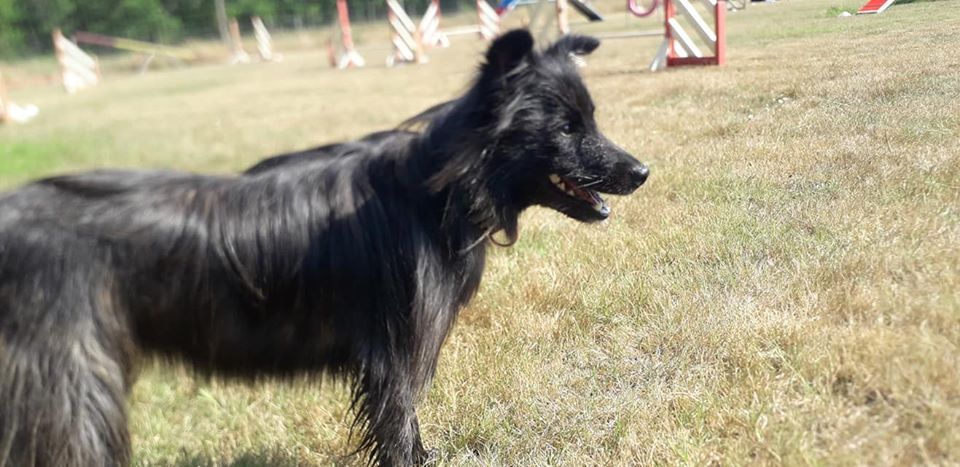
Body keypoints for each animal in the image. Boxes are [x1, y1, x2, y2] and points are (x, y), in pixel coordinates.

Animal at [0, 30, 648, 467]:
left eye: (591, 117)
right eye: (565, 128)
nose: (642, 171)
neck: (436, 193)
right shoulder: (392, 360)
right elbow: (402, 436)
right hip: (74, 392)